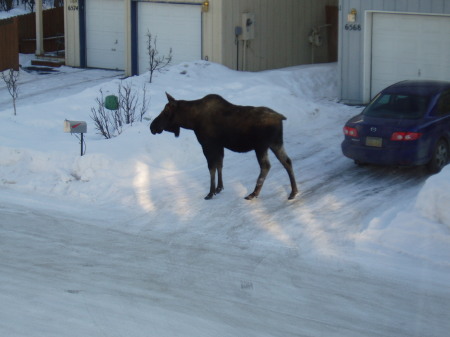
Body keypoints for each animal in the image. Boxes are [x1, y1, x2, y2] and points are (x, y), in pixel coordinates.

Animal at [150, 92, 298, 200]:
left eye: (166, 112)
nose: (152, 127)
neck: (191, 121)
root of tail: (281, 118)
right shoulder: (219, 146)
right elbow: (219, 164)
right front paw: (219, 188)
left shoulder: (207, 145)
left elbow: (212, 167)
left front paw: (210, 193)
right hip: (275, 143)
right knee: (287, 161)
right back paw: (293, 192)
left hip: (261, 146)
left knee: (266, 166)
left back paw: (254, 193)